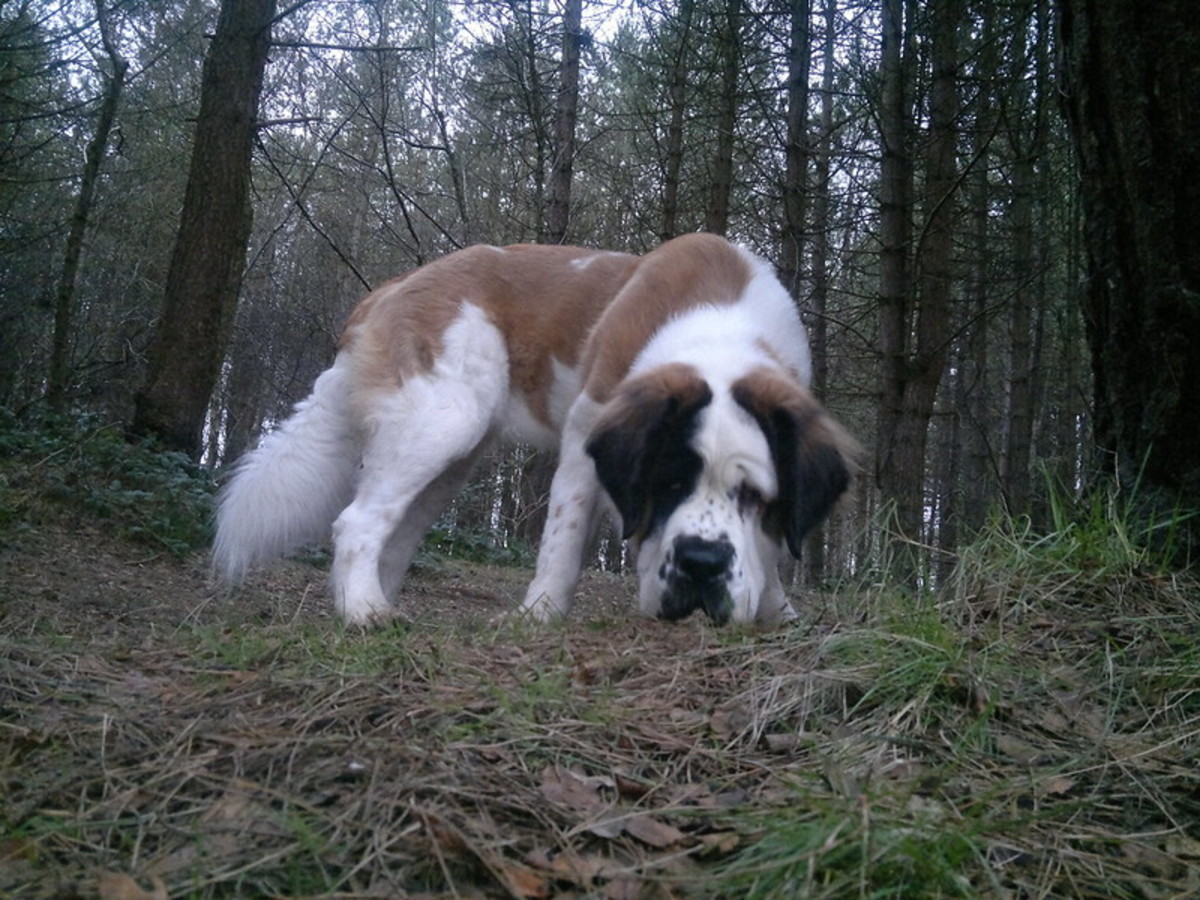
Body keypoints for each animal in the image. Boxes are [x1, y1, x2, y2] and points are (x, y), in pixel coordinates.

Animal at [213, 232, 854, 628]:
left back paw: (372, 604)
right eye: (666, 487)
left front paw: (776, 613)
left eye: (755, 497)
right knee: (357, 520)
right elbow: (562, 541)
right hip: (440, 423)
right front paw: (539, 616)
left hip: (450, 461)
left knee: (396, 534)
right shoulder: (586, 430)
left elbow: (768, 554)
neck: (718, 328)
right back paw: (364, 612)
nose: (700, 565)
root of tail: (394, 286)